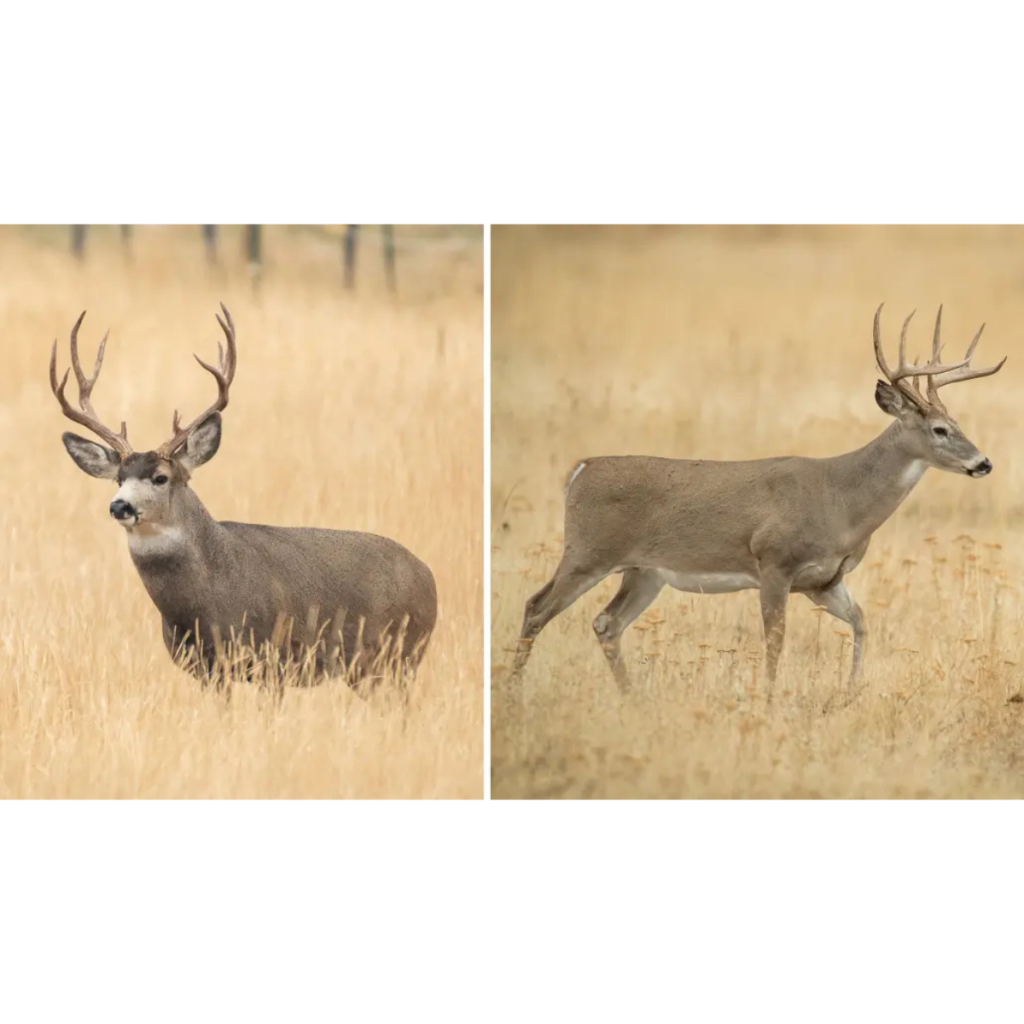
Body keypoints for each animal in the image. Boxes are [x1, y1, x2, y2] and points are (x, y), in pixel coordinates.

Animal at [51, 305, 437, 699]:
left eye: (161, 477)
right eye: (119, 478)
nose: (120, 507)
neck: (205, 596)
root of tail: (429, 577)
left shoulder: (275, 656)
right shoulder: (207, 668)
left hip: (400, 654)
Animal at [510, 305, 1005, 699]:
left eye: (958, 422)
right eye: (940, 429)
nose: (983, 463)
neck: (841, 501)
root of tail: (581, 469)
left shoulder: (824, 581)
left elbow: (862, 621)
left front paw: (850, 693)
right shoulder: (773, 562)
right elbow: (775, 639)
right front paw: (767, 700)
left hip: (644, 572)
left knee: (606, 623)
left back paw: (631, 698)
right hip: (587, 551)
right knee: (537, 606)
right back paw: (513, 690)